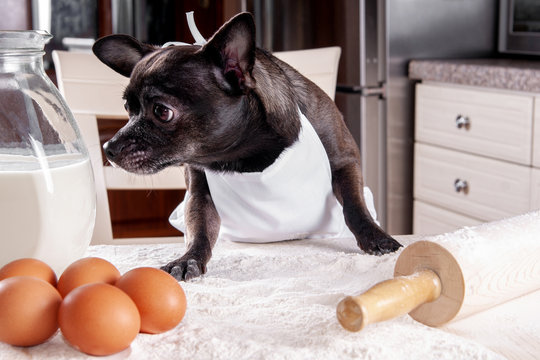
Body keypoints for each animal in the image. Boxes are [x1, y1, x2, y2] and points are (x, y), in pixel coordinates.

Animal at [92, 11, 400, 282]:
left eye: (162, 111)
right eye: (128, 108)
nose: (109, 147)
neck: (245, 153)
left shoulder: (345, 161)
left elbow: (354, 206)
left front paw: (376, 237)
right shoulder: (199, 194)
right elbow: (199, 230)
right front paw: (188, 259)